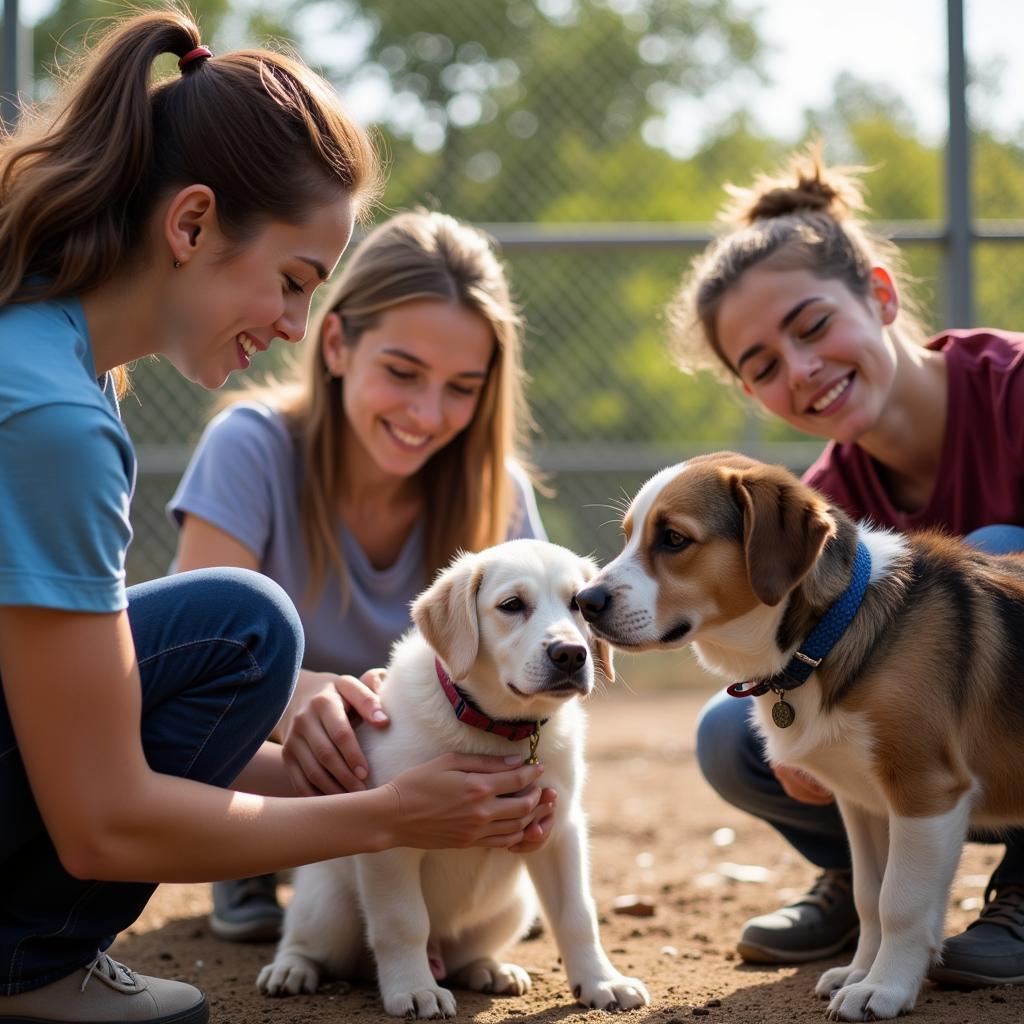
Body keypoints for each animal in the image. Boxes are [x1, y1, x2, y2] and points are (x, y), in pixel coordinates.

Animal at [260, 540, 651, 1019]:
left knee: (467, 954)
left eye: (577, 604)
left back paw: (491, 969)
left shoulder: (560, 830)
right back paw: (291, 969)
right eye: (511, 605)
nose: (571, 654)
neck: (497, 731)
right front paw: (413, 990)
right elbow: (403, 922)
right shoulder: (391, 839)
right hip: (326, 907)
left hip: (512, 907)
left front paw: (602, 981)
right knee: (306, 941)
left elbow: (577, 914)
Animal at [577, 452, 1024, 1019]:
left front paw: (885, 988)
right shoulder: (865, 803)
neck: (832, 630)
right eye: (628, 535)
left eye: (674, 539)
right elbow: (869, 896)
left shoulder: (927, 792)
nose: (583, 600)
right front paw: (861, 972)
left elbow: (900, 902)